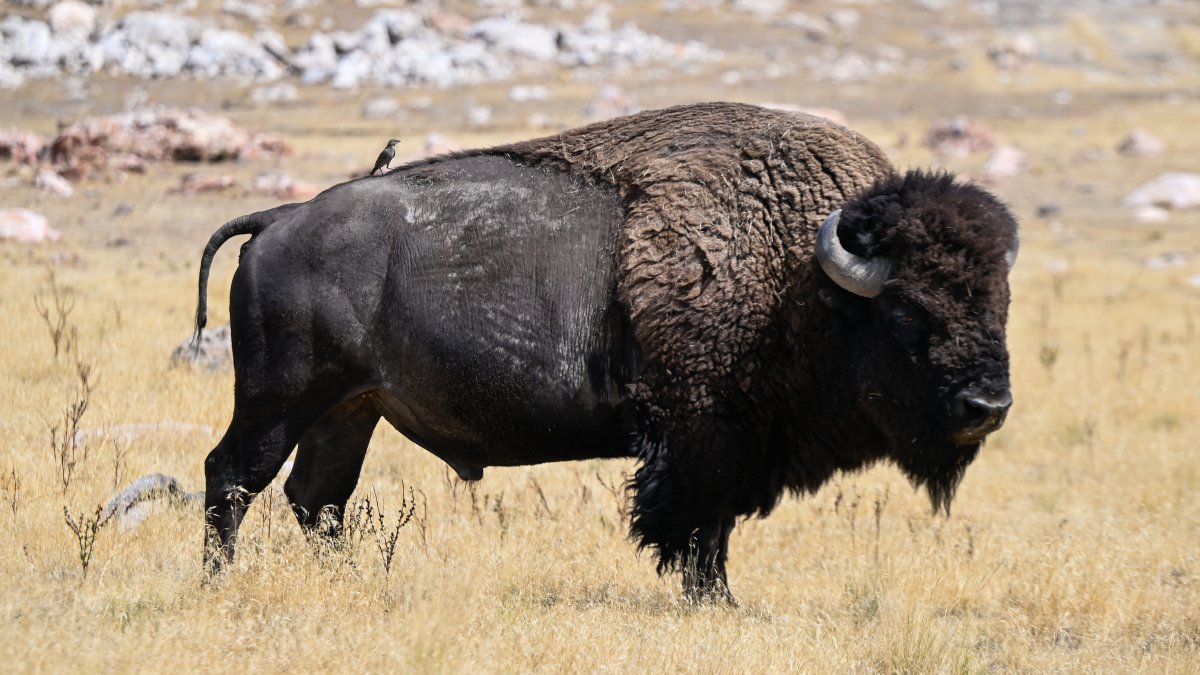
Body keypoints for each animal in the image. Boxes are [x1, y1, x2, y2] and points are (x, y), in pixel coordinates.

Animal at [194, 102, 1018, 601]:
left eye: (999, 300)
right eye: (908, 309)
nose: (988, 405)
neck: (803, 279)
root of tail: (279, 220)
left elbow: (712, 529)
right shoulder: (700, 439)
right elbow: (699, 529)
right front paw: (713, 601)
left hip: (350, 409)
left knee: (318, 497)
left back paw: (353, 584)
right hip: (279, 400)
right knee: (233, 477)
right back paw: (216, 585)